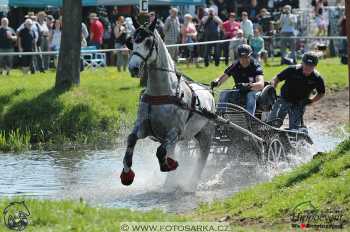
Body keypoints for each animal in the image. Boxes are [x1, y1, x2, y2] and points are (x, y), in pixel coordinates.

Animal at [120, 19, 216, 188]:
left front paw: (168, 165)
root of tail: (209, 92)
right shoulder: (143, 127)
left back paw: (190, 182)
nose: (133, 68)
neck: (161, 93)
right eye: (131, 42)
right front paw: (126, 174)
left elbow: (161, 151)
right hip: (187, 137)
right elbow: (131, 139)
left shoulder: (173, 133)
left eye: (148, 42)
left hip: (205, 134)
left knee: (202, 157)